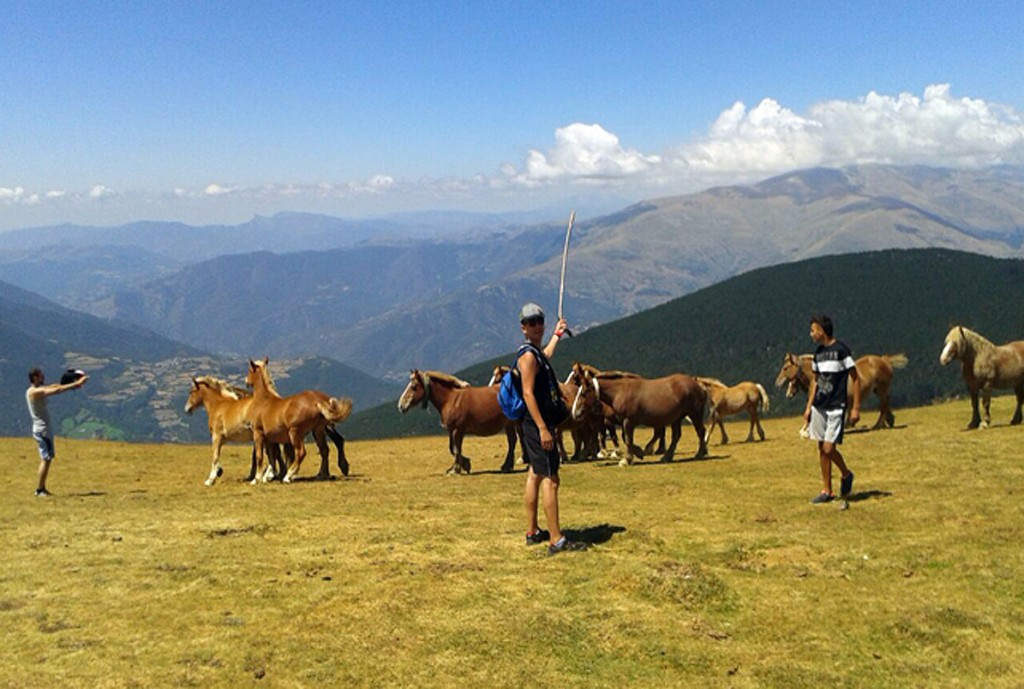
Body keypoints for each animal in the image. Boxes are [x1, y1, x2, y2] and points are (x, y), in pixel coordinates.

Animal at [565, 362, 708, 464]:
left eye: (583, 393)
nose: (575, 413)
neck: (620, 391)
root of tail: (697, 383)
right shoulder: (623, 421)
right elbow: (625, 438)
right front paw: (638, 452)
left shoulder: (627, 421)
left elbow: (627, 439)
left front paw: (627, 459)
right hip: (677, 418)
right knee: (676, 436)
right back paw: (667, 456)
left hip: (694, 414)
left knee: (701, 431)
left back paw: (700, 453)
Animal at [770, 350, 909, 429]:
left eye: (785, 368)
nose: (777, 383)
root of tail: (884, 360)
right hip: (878, 390)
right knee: (885, 404)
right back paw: (888, 421)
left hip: (881, 389)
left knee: (884, 405)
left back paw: (878, 425)